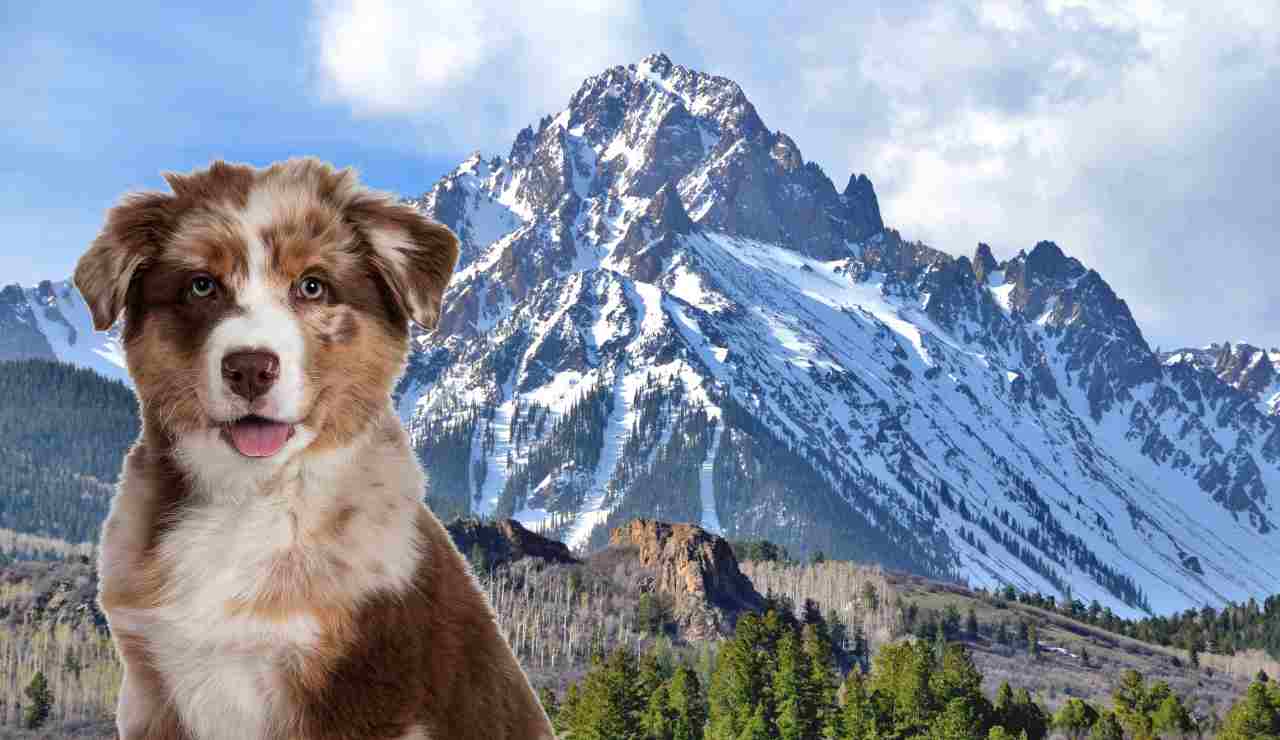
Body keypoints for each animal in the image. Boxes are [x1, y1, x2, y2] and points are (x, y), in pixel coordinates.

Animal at [74, 156, 555, 737]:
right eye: (201, 286)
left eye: (312, 287)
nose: (250, 368)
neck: (249, 497)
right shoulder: (153, 690)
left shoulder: (356, 695)